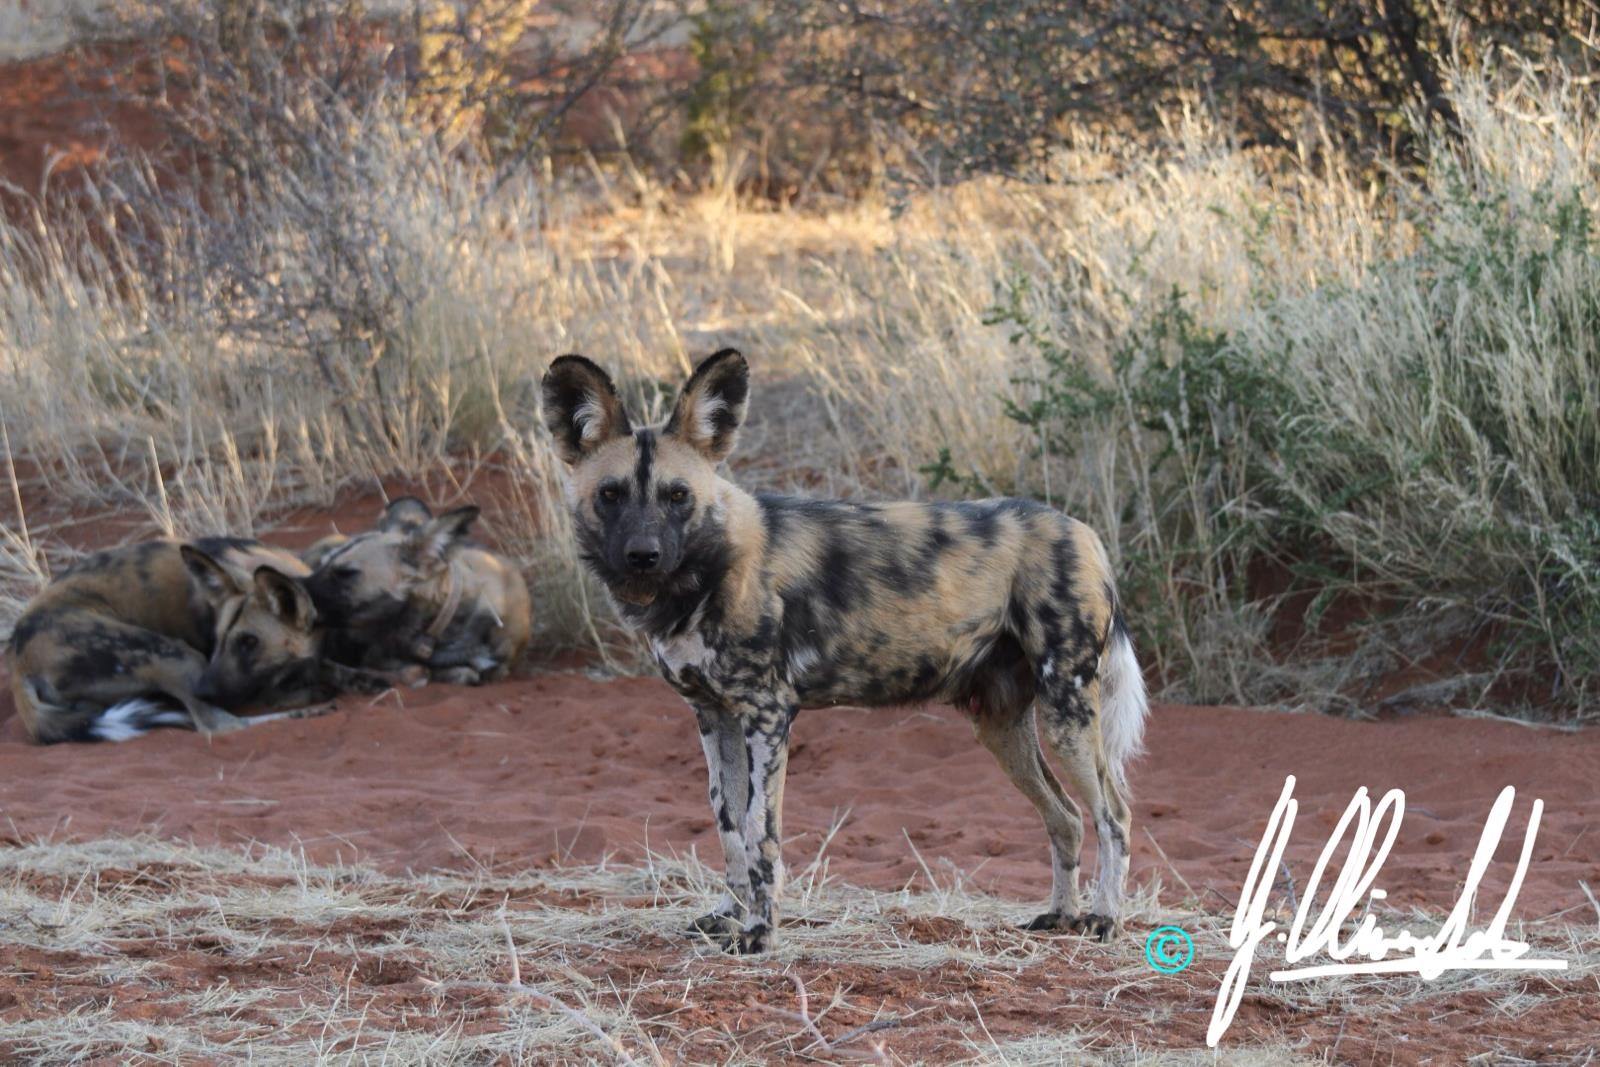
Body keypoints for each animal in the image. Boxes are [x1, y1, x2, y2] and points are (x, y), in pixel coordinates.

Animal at [8, 537, 387, 748]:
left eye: (248, 642)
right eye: (218, 640)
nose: (203, 687)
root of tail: (18, 661)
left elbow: (326, 665)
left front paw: (362, 679)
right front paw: (305, 692)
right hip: (174, 654)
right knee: (221, 726)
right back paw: (304, 710)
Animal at [544, 348, 1145, 953]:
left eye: (677, 496)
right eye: (611, 494)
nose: (643, 555)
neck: (706, 571)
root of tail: (1083, 531)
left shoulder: (768, 715)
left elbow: (761, 831)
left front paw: (759, 931)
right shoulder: (713, 715)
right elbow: (727, 823)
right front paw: (727, 915)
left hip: (1067, 714)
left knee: (1113, 815)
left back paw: (1104, 918)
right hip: (1000, 728)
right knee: (1066, 816)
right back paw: (1060, 915)